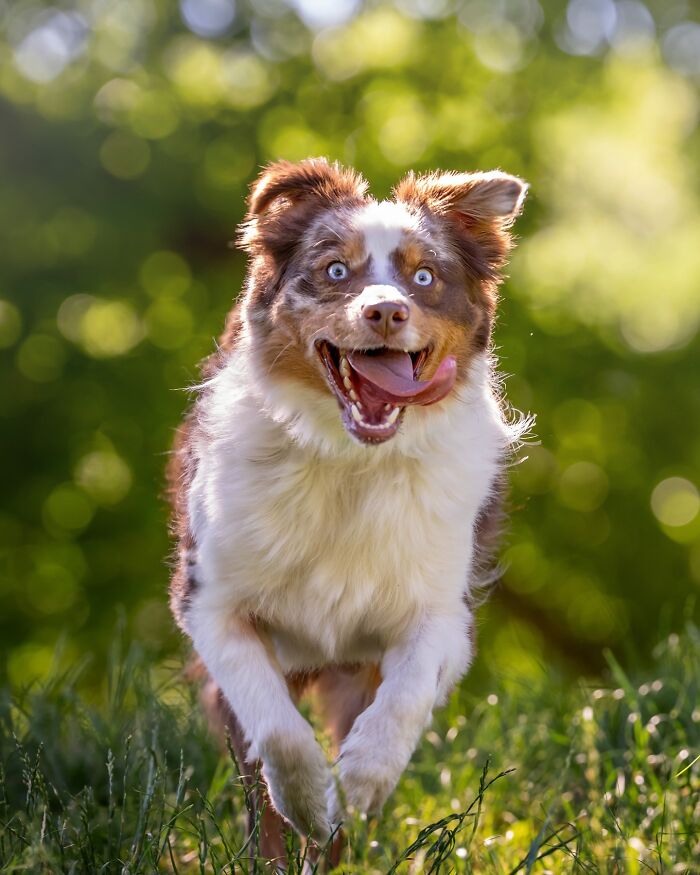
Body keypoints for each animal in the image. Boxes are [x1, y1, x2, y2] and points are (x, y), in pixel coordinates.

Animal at [167, 159, 528, 868]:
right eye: (336, 270)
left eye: (425, 277)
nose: (385, 310)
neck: (351, 460)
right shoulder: (209, 601)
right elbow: (278, 734)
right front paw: (309, 799)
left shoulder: (442, 613)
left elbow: (405, 699)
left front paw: (360, 782)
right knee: (258, 786)